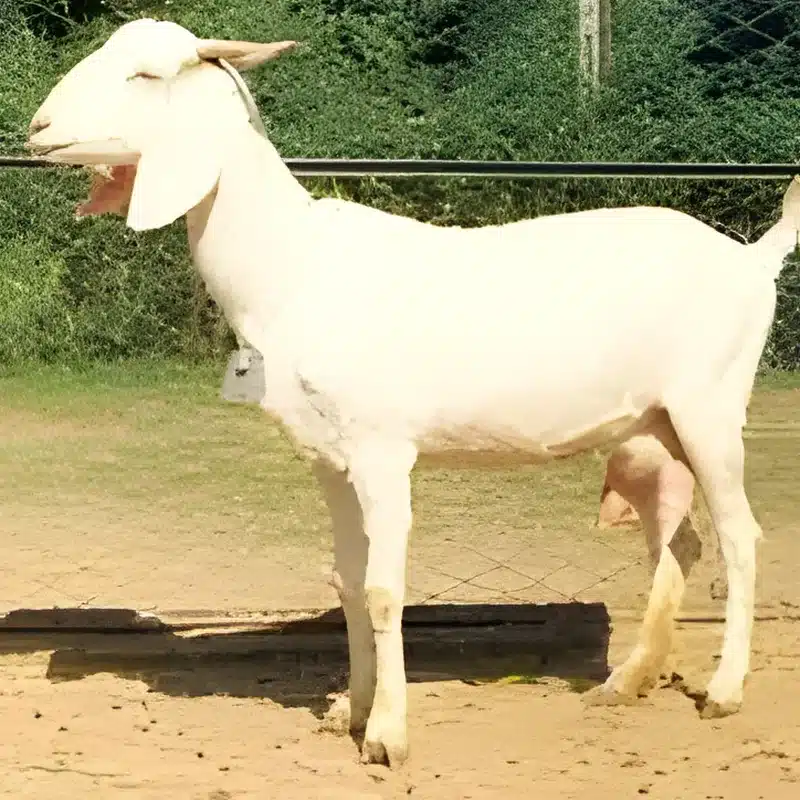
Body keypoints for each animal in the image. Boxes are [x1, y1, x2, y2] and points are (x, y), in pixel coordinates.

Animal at [27, 18, 800, 767]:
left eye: (147, 73)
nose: (37, 128)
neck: (293, 263)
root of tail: (751, 257)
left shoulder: (381, 450)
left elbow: (382, 588)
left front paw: (387, 736)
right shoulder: (328, 456)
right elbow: (346, 582)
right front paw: (350, 709)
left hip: (710, 407)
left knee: (739, 537)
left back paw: (723, 691)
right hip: (652, 428)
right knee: (679, 539)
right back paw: (628, 680)